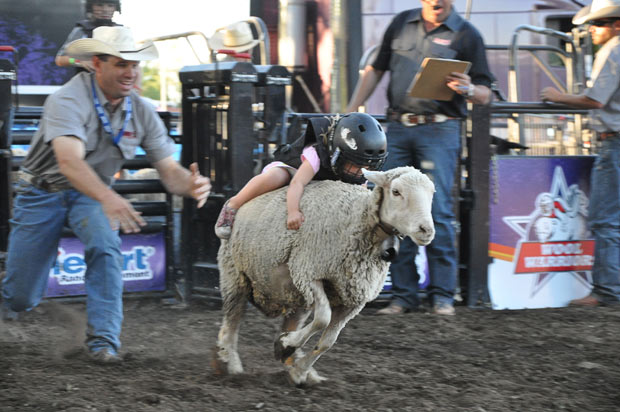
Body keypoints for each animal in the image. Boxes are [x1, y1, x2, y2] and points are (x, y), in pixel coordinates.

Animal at [213, 166, 436, 384]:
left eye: (432, 193)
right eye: (396, 192)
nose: (426, 230)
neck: (355, 220)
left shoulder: (354, 300)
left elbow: (328, 341)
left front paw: (298, 368)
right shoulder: (308, 272)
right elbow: (322, 318)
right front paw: (288, 343)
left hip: (295, 296)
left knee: (289, 321)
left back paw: (291, 360)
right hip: (235, 276)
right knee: (231, 322)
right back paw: (229, 361)